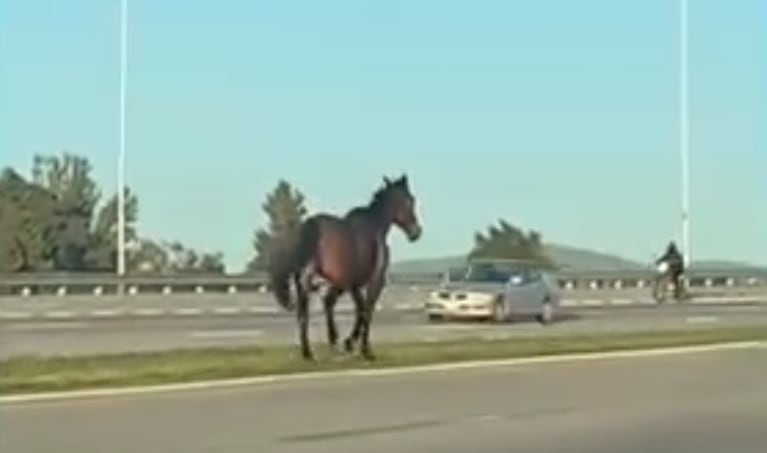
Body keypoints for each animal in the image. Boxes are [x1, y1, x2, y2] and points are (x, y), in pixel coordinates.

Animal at [268, 174, 424, 360]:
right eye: (410, 200)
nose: (416, 232)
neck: (374, 228)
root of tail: (310, 226)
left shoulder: (348, 283)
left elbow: (353, 308)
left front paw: (345, 341)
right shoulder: (373, 281)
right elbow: (366, 310)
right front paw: (363, 349)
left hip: (310, 280)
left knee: (307, 310)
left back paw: (312, 349)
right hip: (311, 278)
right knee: (308, 310)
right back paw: (311, 351)